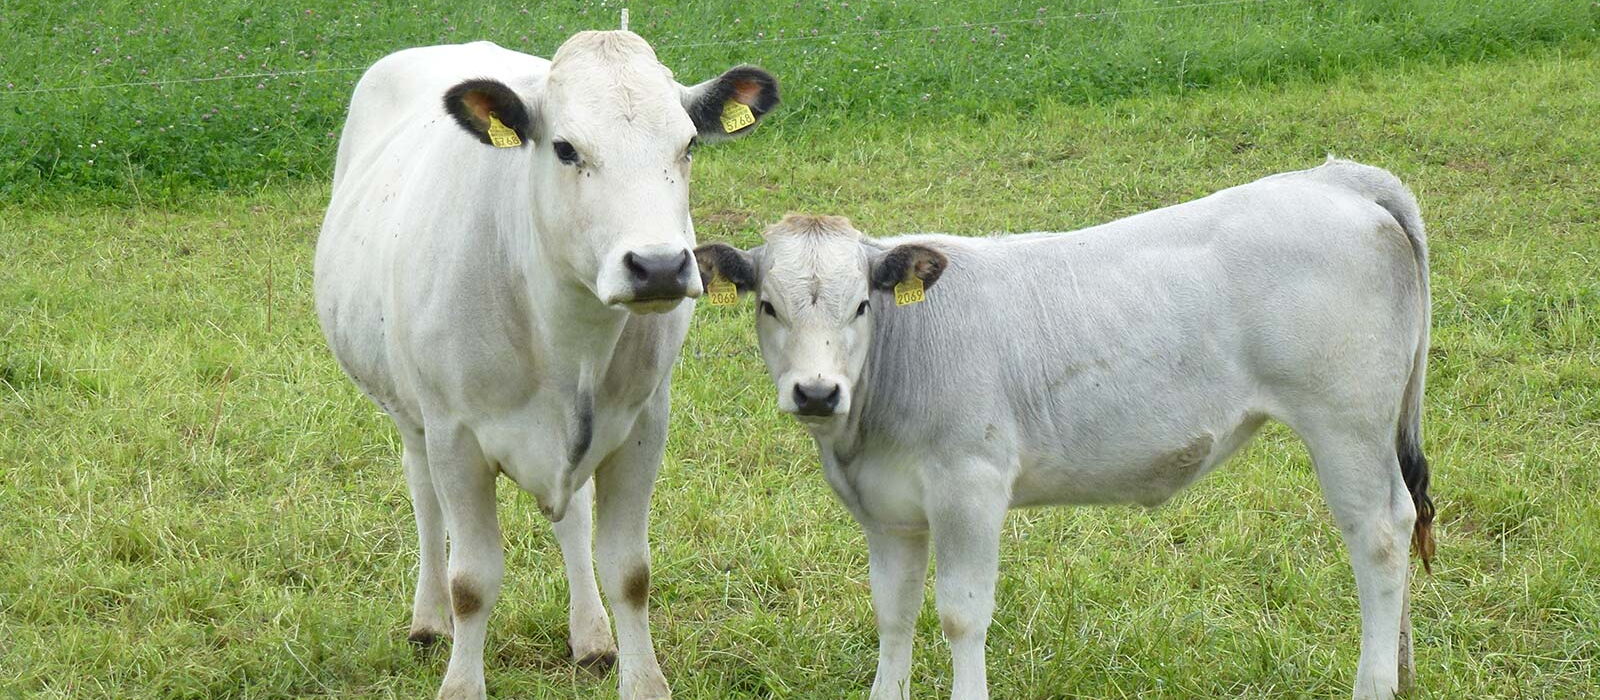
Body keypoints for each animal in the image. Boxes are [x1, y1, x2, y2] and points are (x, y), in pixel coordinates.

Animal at [315, 33, 777, 700]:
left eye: (688, 143)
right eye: (565, 148)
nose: (660, 267)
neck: (567, 341)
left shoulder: (643, 425)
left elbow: (630, 571)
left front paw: (642, 680)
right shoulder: (455, 436)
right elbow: (471, 581)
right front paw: (461, 685)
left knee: (573, 518)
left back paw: (591, 633)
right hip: (410, 414)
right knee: (425, 500)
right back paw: (428, 620)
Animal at [693, 159, 1434, 700]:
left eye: (860, 305)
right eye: (767, 305)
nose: (817, 391)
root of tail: (1332, 177)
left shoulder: (970, 486)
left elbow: (961, 613)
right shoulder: (889, 511)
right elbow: (893, 613)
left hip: (1345, 422)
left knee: (1380, 533)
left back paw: (1375, 685)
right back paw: (1403, 671)